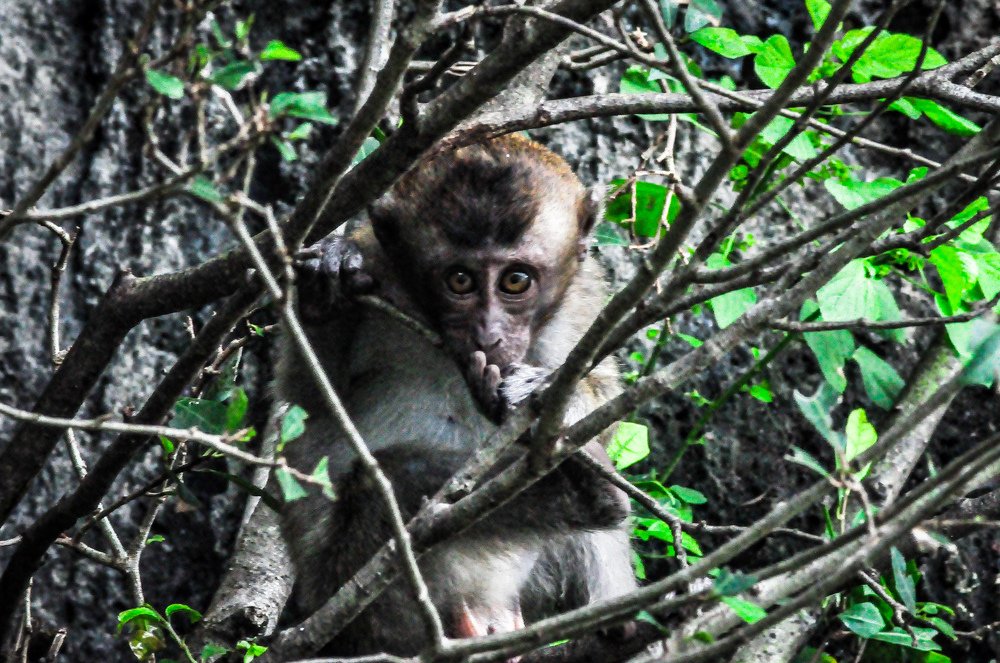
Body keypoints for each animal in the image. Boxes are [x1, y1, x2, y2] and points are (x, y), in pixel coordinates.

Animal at [274, 134, 637, 656]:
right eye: (460, 280)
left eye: (515, 280)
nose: (488, 335)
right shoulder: (376, 267)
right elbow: (308, 408)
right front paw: (327, 282)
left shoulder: (585, 302)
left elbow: (603, 401)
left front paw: (543, 393)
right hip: (355, 597)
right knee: (387, 482)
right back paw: (590, 495)